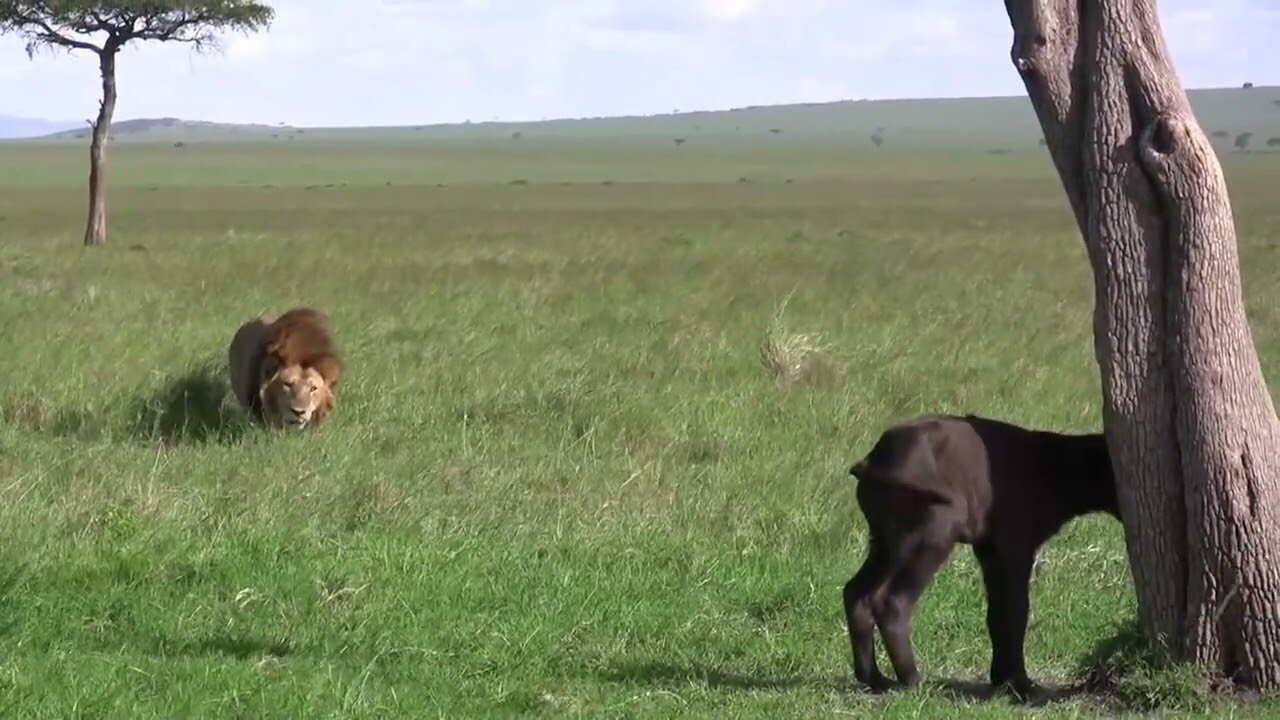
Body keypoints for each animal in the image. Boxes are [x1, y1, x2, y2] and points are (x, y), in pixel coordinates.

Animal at [844, 412, 1116, 696]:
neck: (1054, 465)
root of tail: (873, 462)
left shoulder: (989, 550)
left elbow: (997, 614)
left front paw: (1001, 678)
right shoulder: (1014, 548)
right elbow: (1015, 610)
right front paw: (1020, 684)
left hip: (885, 540)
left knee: (856, 593)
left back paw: (874, 678)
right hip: (931, 532)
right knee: (892, 601)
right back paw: (912, 679)